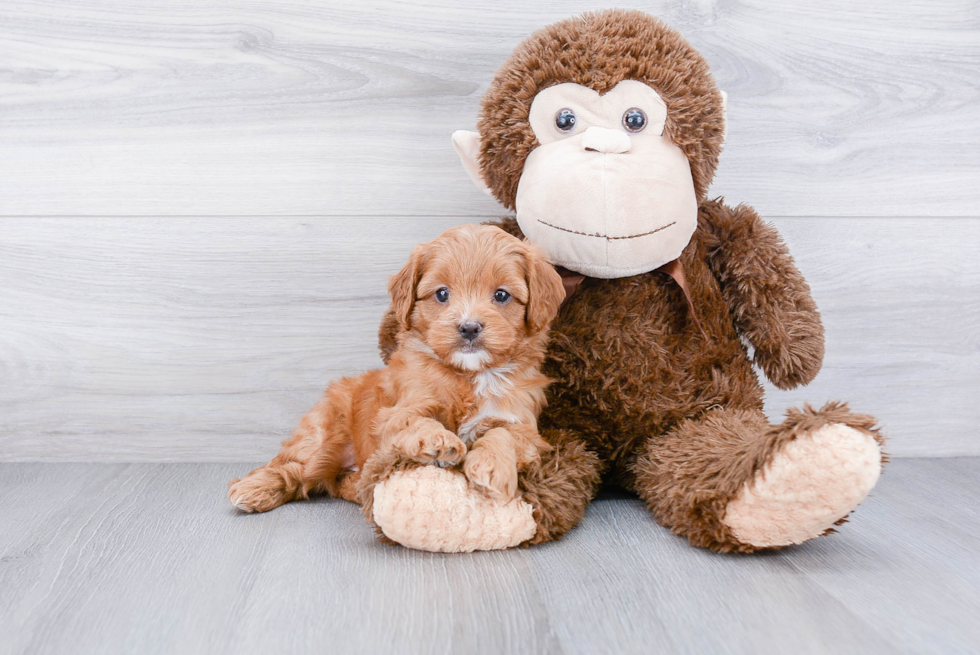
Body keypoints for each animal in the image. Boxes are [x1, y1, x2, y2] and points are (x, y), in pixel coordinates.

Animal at [229, 226, 564, 512]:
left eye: (502, 295)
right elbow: (416, 421)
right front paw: (438, 441)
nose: (469, 327)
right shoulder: (397, 411)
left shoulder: (523, 424)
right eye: (442, 294)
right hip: (322, 432)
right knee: (293, 468)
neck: (468, 375)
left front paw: (491, 468)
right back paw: (254, 488)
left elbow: (502, 434)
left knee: (332, 480)